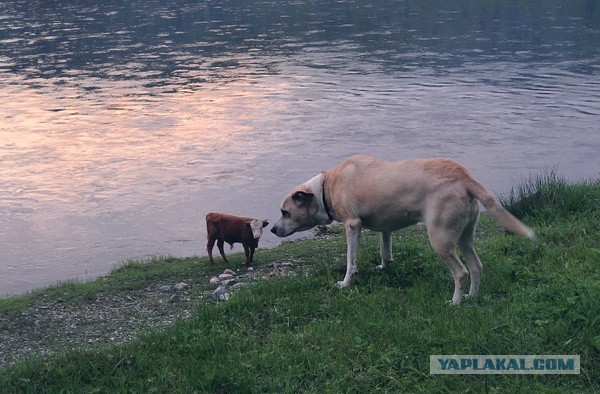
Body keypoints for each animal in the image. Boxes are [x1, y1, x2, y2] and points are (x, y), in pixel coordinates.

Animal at [272, 154, 536, 304]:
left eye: (285, 212)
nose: (273, 229)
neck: (327, 187)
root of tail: (463, 176)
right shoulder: (385, 227)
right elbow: (385, 250)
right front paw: (384, 267)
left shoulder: (352, 226)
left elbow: (350, 262)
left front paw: (346, 283)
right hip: (464, 237)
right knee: (476, 266)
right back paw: (472, 297)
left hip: (440, 239)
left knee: (461, 272)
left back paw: (455, 302)